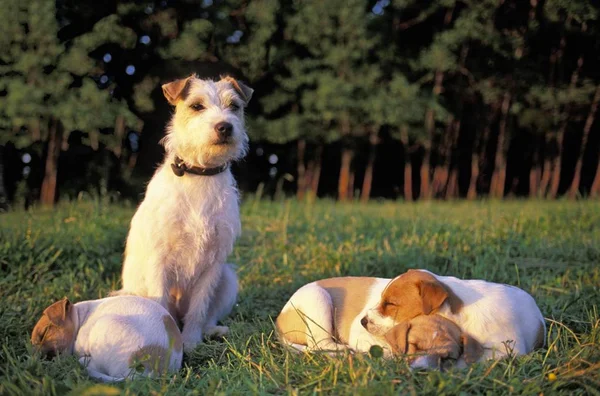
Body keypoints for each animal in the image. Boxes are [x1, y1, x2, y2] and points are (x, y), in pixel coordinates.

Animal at [115, 74, 253, 350]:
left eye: (234, 106)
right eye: (197, 106)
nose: (224, 127)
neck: (200, 174)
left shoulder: (213, 264)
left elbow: (199, 309)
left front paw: (190, 343)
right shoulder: (159, 259)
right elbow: (160, 305)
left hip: (227, 279)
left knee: (207, 314)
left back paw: (213, 331)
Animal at [276, 270, 544, 364]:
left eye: (391, 304)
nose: (363, 320)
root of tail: (279, 319)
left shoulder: (510, 348)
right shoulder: (364, 335)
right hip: (317, 298)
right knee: (319, 344)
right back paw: (342, 351)